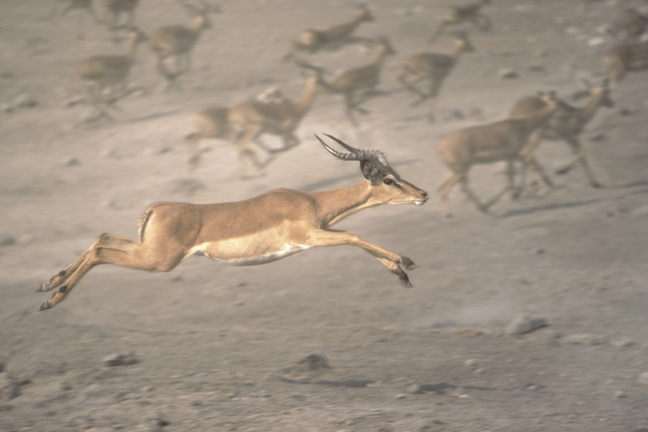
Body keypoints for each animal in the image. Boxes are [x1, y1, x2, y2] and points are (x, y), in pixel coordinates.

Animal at [38, 135, 428, 310]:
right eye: (388, 179)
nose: (423, 194)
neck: (311, 201)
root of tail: (155, 208)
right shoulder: (309, 236)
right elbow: (354, 235)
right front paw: (406, 261)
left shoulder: (321, 232)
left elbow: (354, 237)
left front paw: (403, 274)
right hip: (158, 260)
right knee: (101, 252)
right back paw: (52, 298)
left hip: (146, 249)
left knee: (102, 237)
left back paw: (48, 285)